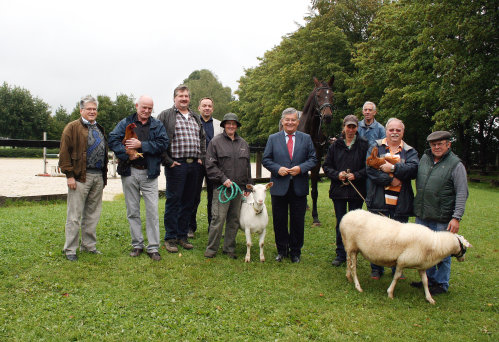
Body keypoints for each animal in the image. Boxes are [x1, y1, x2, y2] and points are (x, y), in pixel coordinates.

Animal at [340, 208, 472, 304]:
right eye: (464, 248)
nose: (463, 259)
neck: (436, 244)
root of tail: (346, 216)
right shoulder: (402, 261)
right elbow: (397, 277)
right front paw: (390, 293)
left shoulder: (421, 265)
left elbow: (425, 281)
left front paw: (429, 298)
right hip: (352, 246)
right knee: (353, 267)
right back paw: (358, 287)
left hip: (351, 248)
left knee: (348, 262)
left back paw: (348, 277)